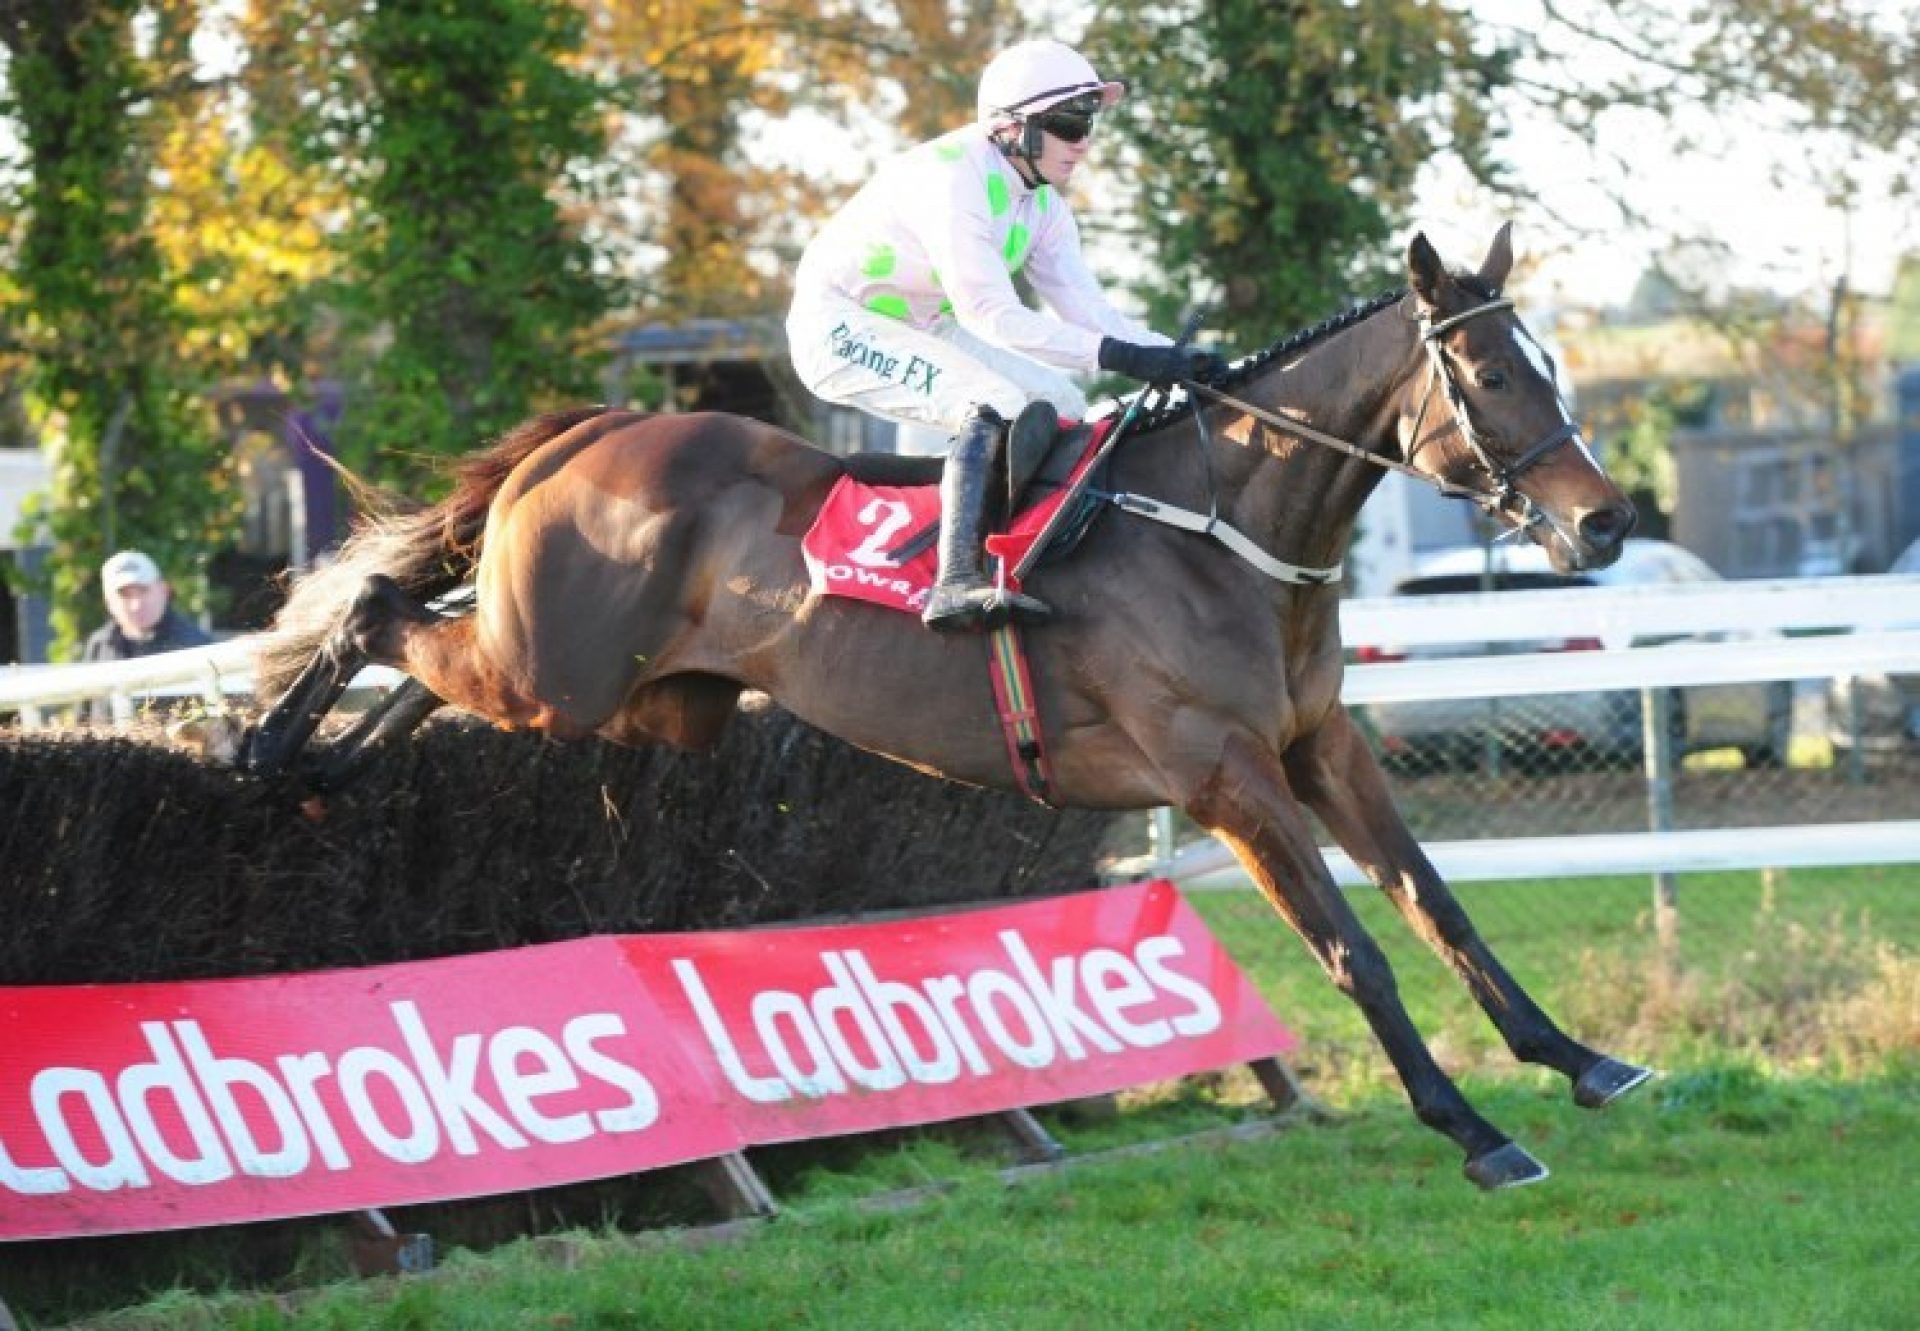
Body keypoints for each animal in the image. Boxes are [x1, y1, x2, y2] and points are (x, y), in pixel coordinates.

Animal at [240, 222, 1651, 1190]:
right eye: (1491, 373)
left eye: (1551, 362)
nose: (1606, 522)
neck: (1222, 529)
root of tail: (589, 432)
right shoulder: (1221, 773)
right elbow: (1354, 946)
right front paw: (1473, 1129)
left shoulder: (1322, 745)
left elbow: (1439, 905)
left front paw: (1581, 1057)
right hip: (565, 668)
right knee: (378, 611)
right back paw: (262, 749)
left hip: (633, 698)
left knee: (425, 666)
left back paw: (322, 771)